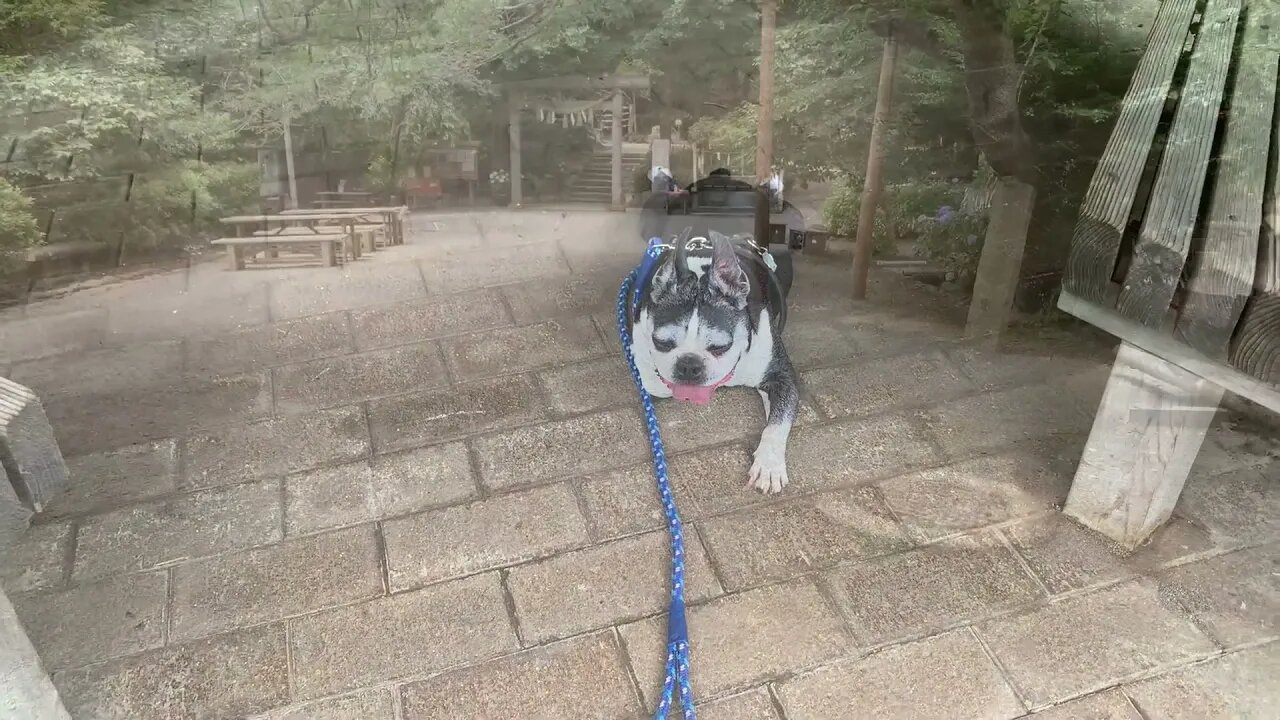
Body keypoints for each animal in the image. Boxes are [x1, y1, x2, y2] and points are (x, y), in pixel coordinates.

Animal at [624, 229, 793, 491]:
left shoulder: (781, 377)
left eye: (721, 346)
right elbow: (652, 377)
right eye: (661, 342)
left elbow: (778, 422)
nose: (689, 365)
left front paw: (769, 465)